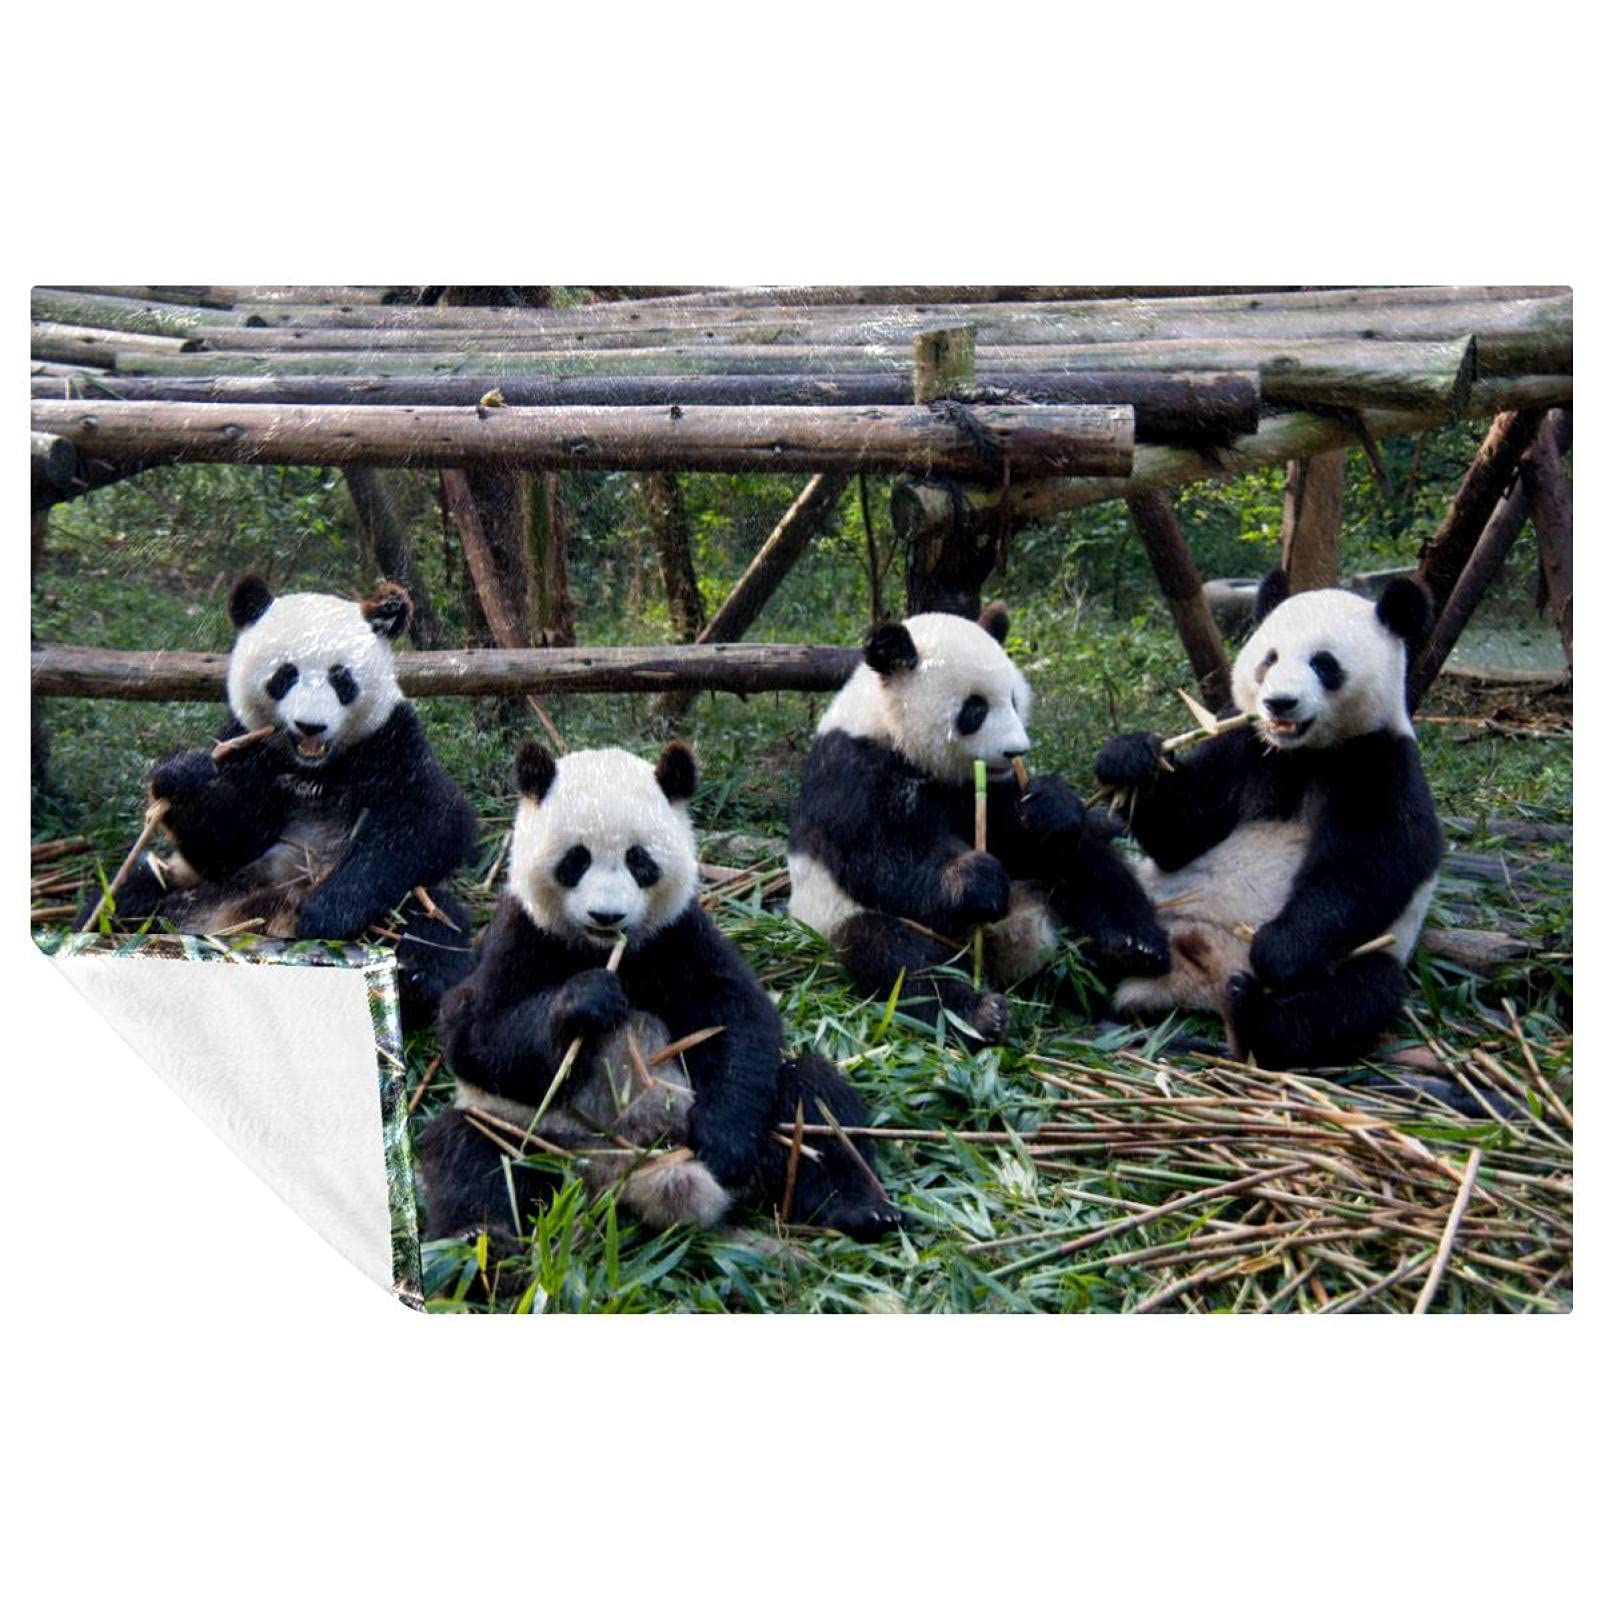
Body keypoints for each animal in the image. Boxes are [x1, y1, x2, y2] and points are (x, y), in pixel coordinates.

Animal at [78, 574, 477, 1017]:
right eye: (285, 674)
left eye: (341, 677)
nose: (310, 726)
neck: (313, 769)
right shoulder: (245, 745)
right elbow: (229, 841)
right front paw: (182, 776)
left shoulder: (392, 739)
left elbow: (434, 820)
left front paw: (326, 913)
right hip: (190, 887)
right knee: (124, 899)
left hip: (401, 906)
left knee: (435, 925)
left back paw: (412, 983)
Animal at [416, 739, 901, 1252]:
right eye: (575, 860)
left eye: (639, 861)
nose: (606, 916)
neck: (604, 949)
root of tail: (620, 1174)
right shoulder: (520, 933)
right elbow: (475, 1034)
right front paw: (588, 1001)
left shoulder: (679, 932)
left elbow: (735, 1014)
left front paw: (722, 1144)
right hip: (537, 1137)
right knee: (473, 1150)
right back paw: (480, 1240)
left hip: (770, 1121)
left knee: (815, 1100)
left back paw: (860, 1208)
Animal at [787, 603, 1171, 1044]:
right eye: (975, 708)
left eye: (1015, 700)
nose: (1015, 750)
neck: (888, 726)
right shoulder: (852, 771)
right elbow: (877, 858)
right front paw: (976, 881)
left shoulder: (978, 788)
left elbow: (1021, 834)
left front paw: (1051, 806)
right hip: (837, 917)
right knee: (893, 953)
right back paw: (980, 1012)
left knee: (1089, 864)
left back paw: (1133, 948)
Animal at [1099, 570, 1444, 1069]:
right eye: (1270, 658)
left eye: (1324, 664)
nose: (1279, 702)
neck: (1302, 753)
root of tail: (1197, 980)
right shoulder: (1245, 745)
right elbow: (1183, 834)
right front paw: (1130, 758)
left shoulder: (1380, 760)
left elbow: (1375, 860)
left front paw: (1279, 948)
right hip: (1160, 911)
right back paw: (1125, 946)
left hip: (1363, 957)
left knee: (1357, 995)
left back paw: (1250, 1010)